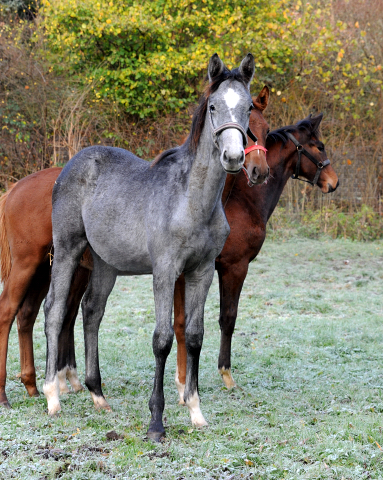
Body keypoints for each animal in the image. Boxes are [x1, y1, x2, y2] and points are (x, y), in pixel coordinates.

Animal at [174, 113, 340, 402]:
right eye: (319, 146)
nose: (334, 182)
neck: (242, 202)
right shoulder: (234, 267)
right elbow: (228, 318)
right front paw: (226, 375)